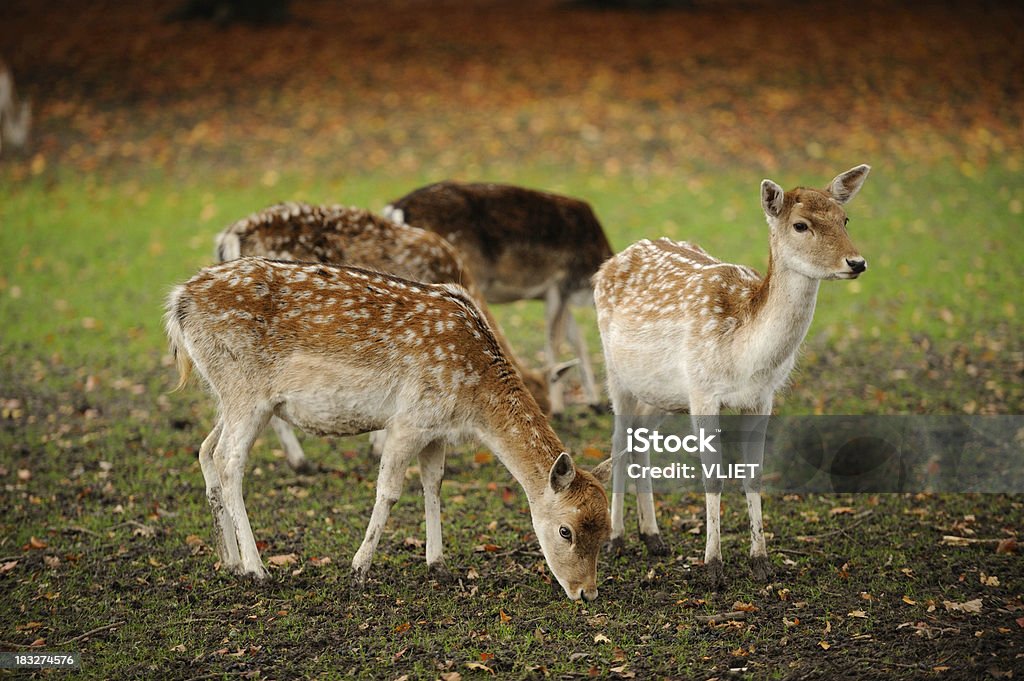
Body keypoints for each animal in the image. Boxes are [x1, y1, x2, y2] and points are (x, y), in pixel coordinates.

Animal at [164, 258, 610, 598]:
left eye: (605, 530)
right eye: (566, 531)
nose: (586, 592)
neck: (474, 402)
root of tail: (178, 303)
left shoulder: (436, 430)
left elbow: (434, 484)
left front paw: (438, 564)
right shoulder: (409, 419)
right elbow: (390, 490)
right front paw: (359, 568)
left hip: (229, 396)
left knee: (205, 450)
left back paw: (230, 562)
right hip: (246, 391)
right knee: (228, 460)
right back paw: (257, 570)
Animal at [385, 180, 610, 411]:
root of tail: (396, 209)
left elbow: (577, 339)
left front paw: (593, 402)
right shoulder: (560, 284)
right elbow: (554, 342)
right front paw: (559, 407)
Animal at [593, 164, 872, 589]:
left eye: (845, 219)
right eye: (801, 225)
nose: (856, 262)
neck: (745, 355)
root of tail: (606, 265)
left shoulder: (761, 398)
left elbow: (753, 476)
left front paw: (761, 562)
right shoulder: (704, 391)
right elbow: (712, 478)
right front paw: (713, 567)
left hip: (663, 392)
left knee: (640, 438)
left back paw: (653, 537)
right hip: (616, 372)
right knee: (618, 439)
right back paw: (617, 539)